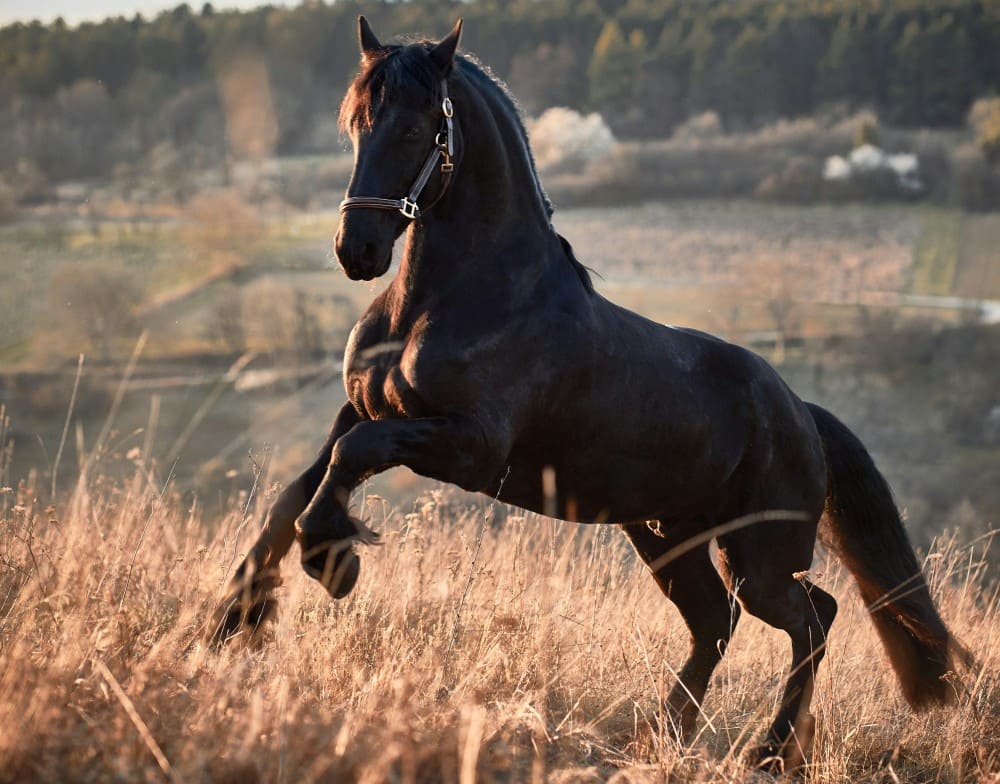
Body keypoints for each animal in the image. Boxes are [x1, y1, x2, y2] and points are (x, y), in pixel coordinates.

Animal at [210, 17, 967, 771]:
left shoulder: (467, 447)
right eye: (355, 125)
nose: (356, 250)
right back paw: (664, 734)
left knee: (811, 619)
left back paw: (768, 753)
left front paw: (332, 563)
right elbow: (298, 492)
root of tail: (802, 415)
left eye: (416, 127)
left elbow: (345, 469)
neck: (454, 299)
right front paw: (229, 623)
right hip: (667, 537)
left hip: (760, 557)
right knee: (717, 622)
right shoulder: (360, 411)